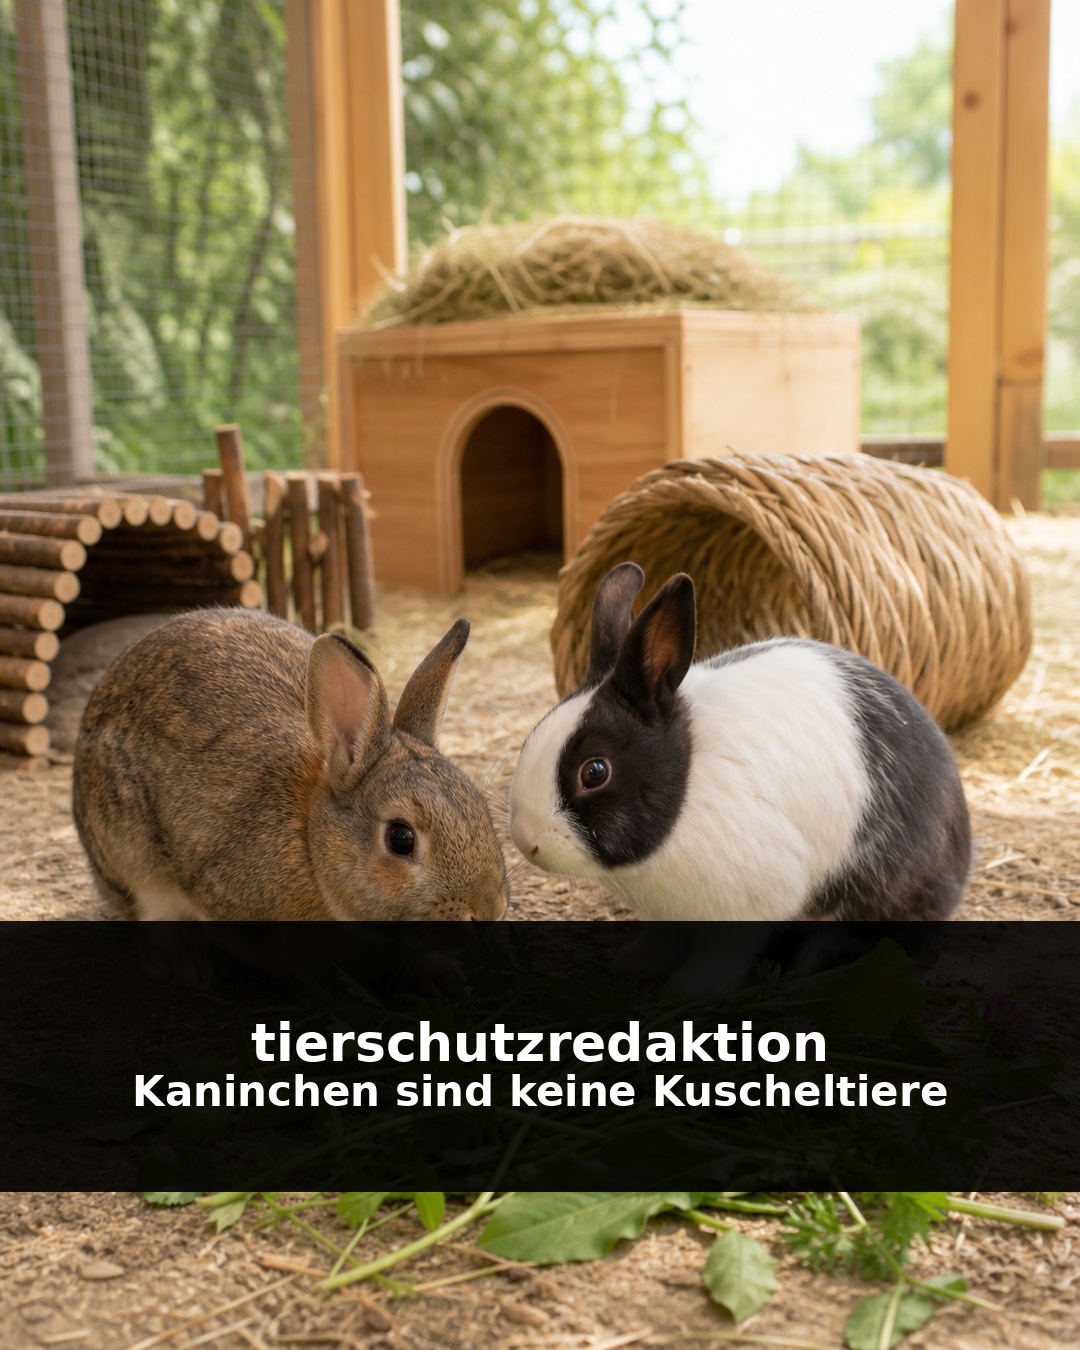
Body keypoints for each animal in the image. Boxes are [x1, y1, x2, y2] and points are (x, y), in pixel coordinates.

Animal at [509, 562, 971, 988]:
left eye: (594, 772)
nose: (526, 842)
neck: (689, 778)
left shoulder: (751, 898)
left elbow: (722, 951)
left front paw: (689, 987)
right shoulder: (668, 913)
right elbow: (663, 937)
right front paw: (636, 963)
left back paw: (819, 954)